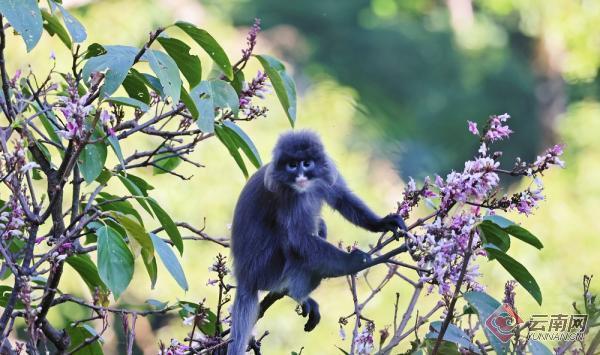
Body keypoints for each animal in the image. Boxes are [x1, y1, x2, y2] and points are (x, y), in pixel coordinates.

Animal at [226, 131, 408, 355]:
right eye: (292, 165)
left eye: (306, 163)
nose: (301, 176)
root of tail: (244, 278)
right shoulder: (287, 197)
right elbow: (297, 239)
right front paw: (351, 261)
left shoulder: (324, 177)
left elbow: (343, 199)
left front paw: (382, 223)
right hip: (266, 270)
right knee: (291, 245)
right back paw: (297, 294)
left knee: (319, 224)